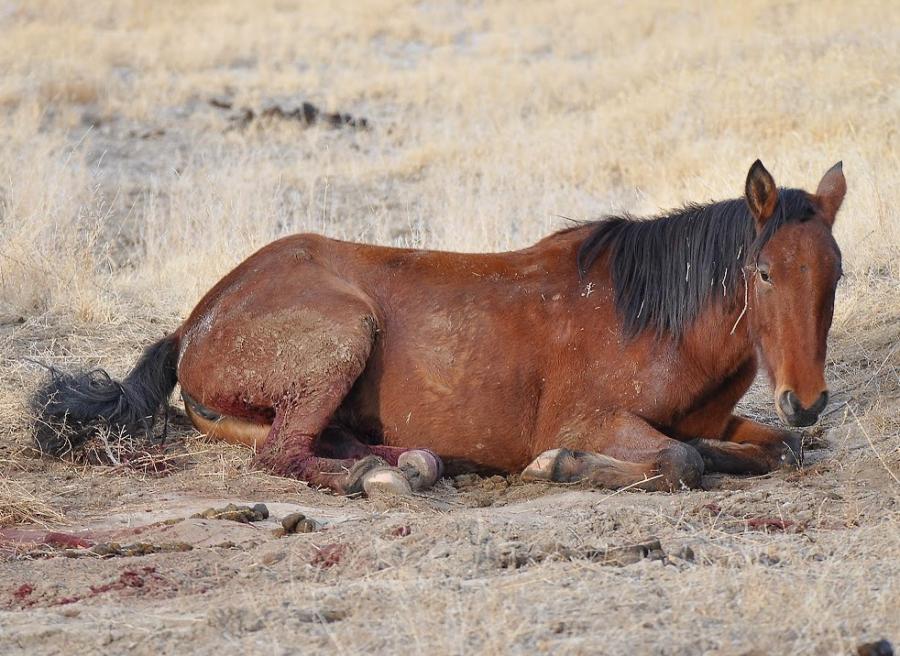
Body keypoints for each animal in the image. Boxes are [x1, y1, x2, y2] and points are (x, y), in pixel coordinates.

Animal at [31, 160, 846, 496]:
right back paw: (378, 476)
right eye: (763, 273)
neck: (653, 319)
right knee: (283, 454)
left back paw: (420, 462)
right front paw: (558, 468)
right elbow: (680, 462)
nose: (806, 399)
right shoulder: (588, 418)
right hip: (344, 333)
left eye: (835, 272)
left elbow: (777, 449)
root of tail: (196, 320)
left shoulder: (726, 420)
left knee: (306, 441)